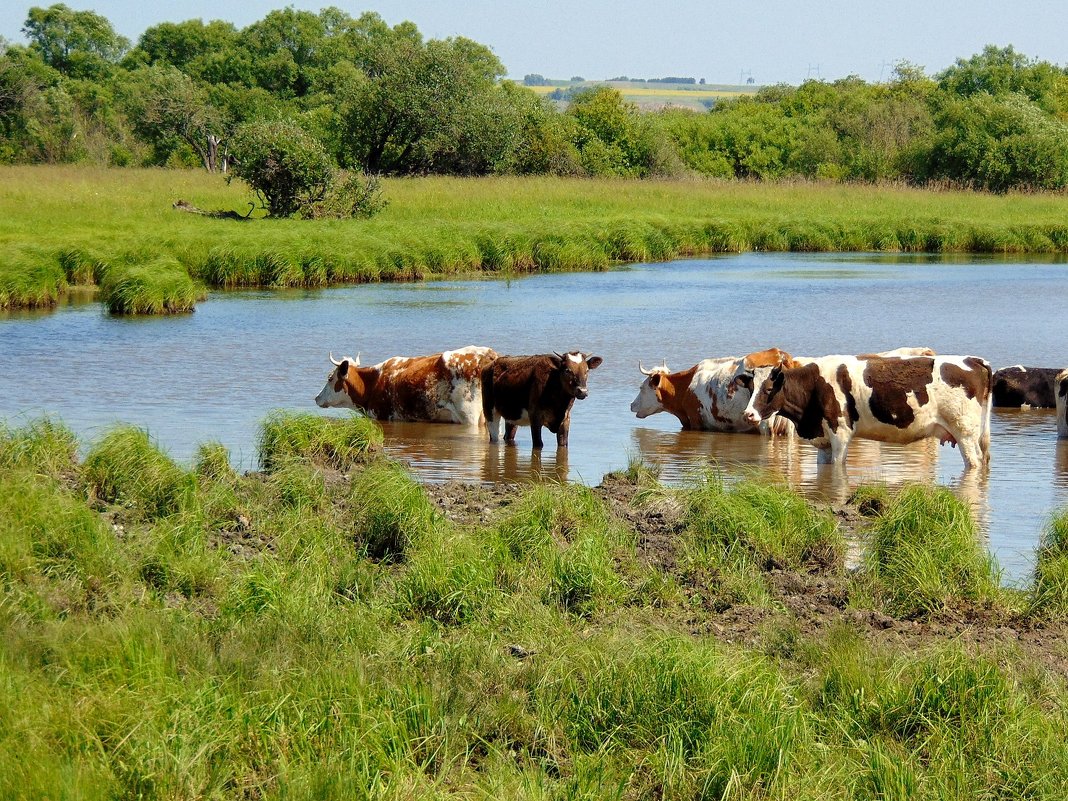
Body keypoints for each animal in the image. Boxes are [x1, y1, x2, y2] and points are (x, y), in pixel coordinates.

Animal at [313, 348, 497, 429]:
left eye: (330, 378)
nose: (316, 398)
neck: (372, 383)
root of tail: (488, 354)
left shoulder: (382, 415)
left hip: (469, 414)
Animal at [623, 348, 803, 435]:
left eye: (641, 387)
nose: (631, 405)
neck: (685, 386)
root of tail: (780, 355)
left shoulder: (695, 421)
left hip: (765, 422)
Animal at [743, 356, 991, 469]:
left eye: (768, 389)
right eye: (750, 388)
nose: (748, 415)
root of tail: (973, 360)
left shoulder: (841, 433)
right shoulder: (823, 440)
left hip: (965, 433)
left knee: (975, 464)